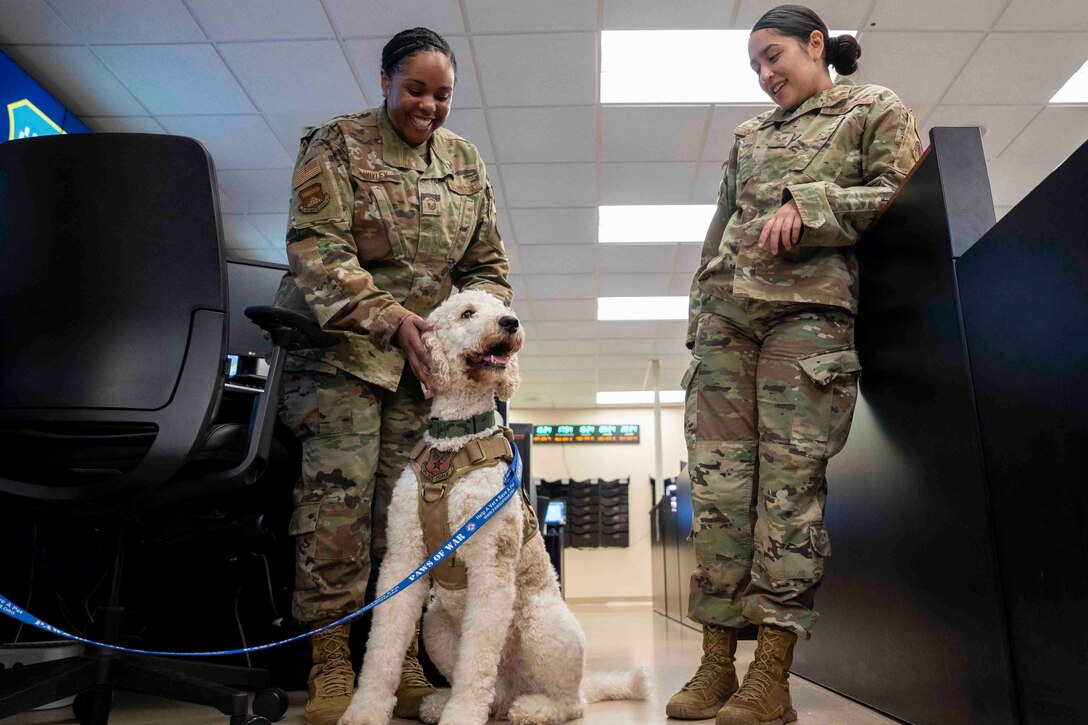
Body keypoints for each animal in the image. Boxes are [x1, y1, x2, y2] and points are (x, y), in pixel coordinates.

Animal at [337, 289, 644, 722]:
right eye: (467, 312)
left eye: (504, 309)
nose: (510, 323)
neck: (455, 443)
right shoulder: (403, 559)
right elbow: (382, 646)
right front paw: (365, 710)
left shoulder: (491, 566)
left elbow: (477, 660)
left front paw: (463, 714)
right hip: (435, 626)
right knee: (495, 692)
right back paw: (443, 701)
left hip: (545, 624)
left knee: (570, 702)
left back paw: (534, 708)